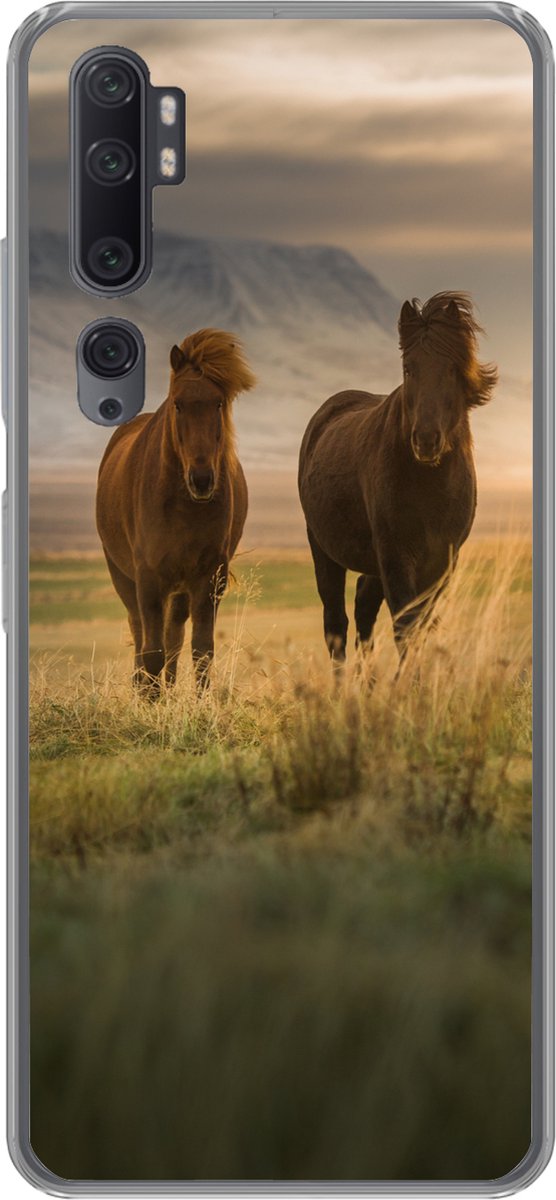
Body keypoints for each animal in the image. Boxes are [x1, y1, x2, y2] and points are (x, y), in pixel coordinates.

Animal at [96, 328, 256, 694]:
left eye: (219, 402)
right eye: (177, 403)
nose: (202, 479)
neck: (183, 506)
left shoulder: (209, 577)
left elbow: (200, 651)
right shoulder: (148, 578)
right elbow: (151, 651)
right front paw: (149, 702)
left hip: (181, 588)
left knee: (174, 638)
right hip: (124, 577)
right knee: (141, 633)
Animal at [298, 292, 497, 667]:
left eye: (452, 368)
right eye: (409, 368)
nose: (426, 440)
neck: (430, 486)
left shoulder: (442, 563)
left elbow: (420, 627)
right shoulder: (396, 557)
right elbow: (406, 627)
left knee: (363, 607)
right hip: (324, 551)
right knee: (336, 624)